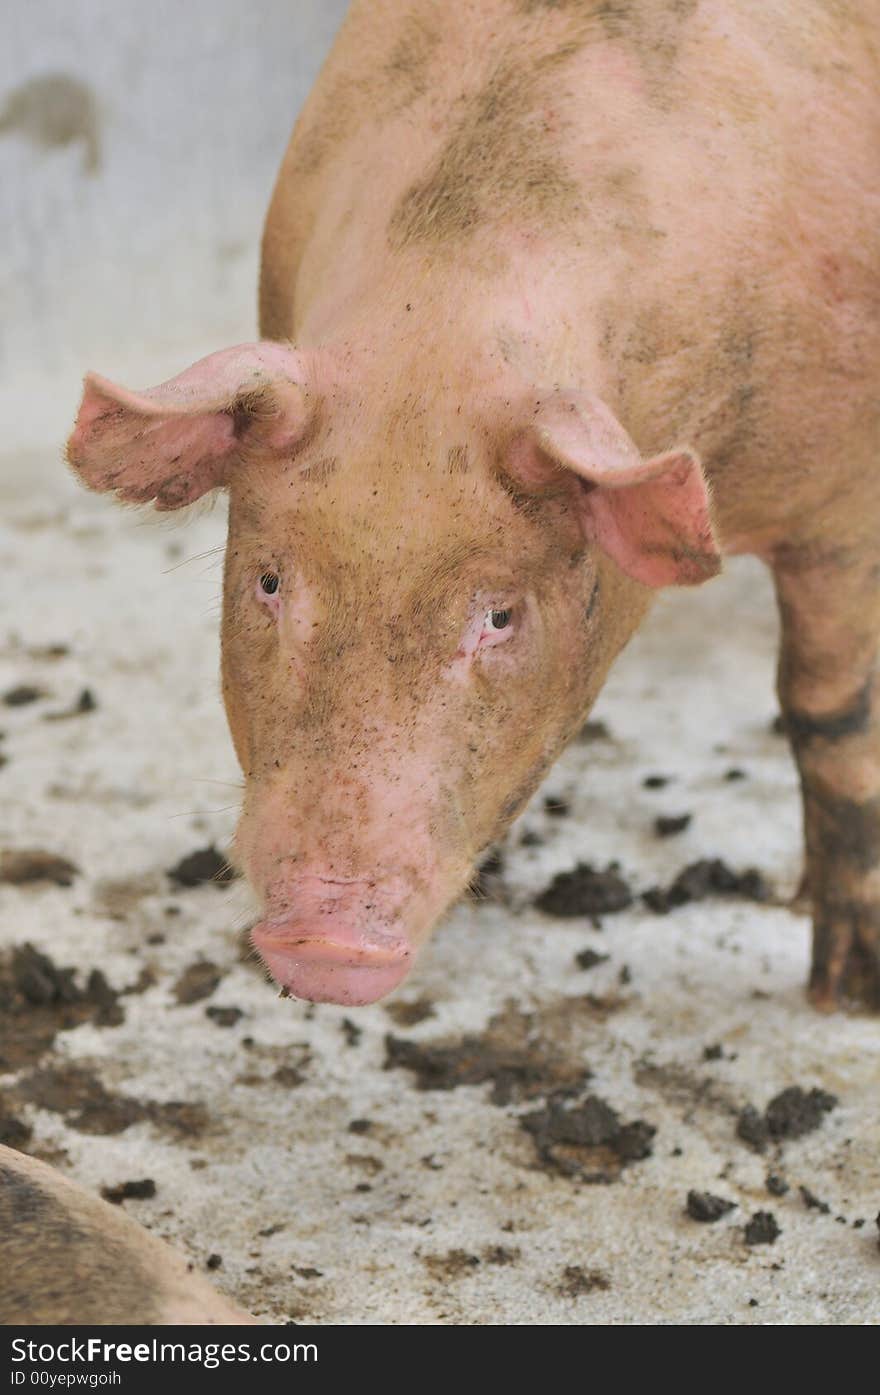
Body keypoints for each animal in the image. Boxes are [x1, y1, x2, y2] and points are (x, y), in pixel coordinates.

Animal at [67, 0, 880, 1004]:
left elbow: (830, 712)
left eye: (499, 614)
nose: (326, 941)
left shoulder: (843, 504)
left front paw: (843, 990)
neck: (448, 307)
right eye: (269, 584)